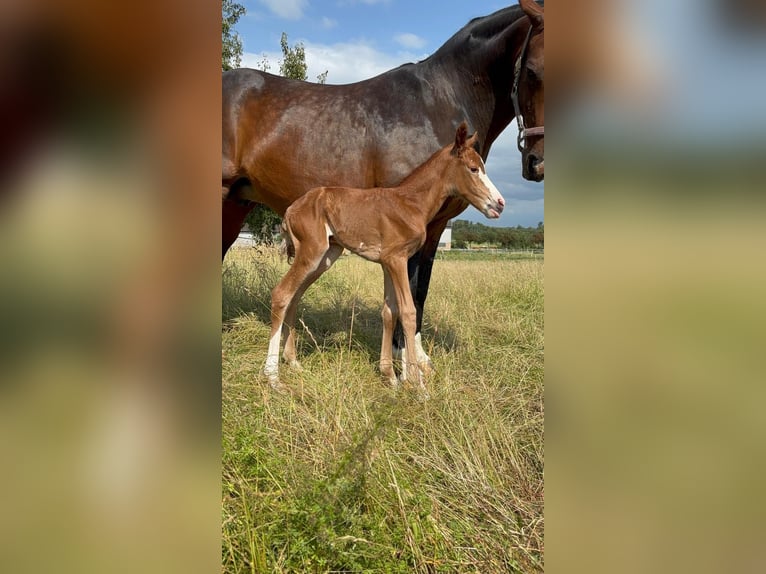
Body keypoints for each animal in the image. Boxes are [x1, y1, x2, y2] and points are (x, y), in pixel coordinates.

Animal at [264, 122, 504, 395]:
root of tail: (290, 211)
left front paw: (391, 376)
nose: (499, 204)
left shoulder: (388, 263)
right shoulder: (397, 259)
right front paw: (417, 385)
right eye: (473, 169)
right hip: (311, 251)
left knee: (295, 296)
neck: (410, 203)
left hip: (326, 256)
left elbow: (390, 312)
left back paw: (293, 361)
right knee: (282, 293)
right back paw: (273, 377)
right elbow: (408, 312)